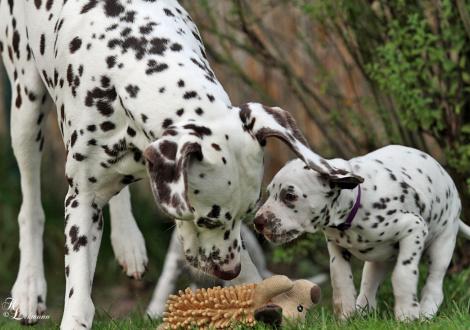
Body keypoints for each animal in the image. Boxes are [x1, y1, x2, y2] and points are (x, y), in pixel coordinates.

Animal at [0, 0, 364, 328]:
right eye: (207, 219)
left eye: (246, 215)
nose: (228, 270)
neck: (132, 54)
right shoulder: (82, 200)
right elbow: (79, 293)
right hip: (25, 109)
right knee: (30, 204)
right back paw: (29, 289)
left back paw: (128, 242)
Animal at [253, 144, 470, 320]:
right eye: (269, 192)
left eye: (290, 196)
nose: (257, 222)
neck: (356, 206)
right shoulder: (336, 247)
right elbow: (340, 279)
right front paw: (346, 315)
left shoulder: (414, 227)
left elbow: (403, 274)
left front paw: (407, 313)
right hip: (377, 260)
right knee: (369, 284)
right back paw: (363, 310)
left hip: (442, 246)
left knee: (434, 284)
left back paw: (426, 312)